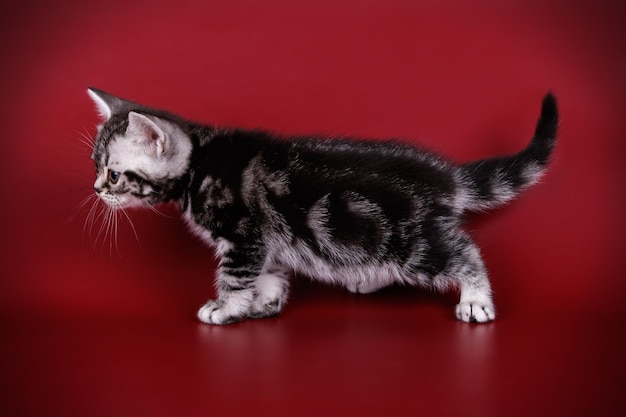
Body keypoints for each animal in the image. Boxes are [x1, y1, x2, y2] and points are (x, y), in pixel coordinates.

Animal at [86, 87, 556, 322]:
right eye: (96, 165)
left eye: (114, 174)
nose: (95, 188)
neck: (199, 161)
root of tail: (445, 175)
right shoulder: (267, 238)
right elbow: (270, 271)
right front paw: (265, 303)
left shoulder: (243, 235)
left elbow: (235, 277)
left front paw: (227, 308)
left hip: (410, 243)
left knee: (464, 252)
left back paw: (476, 299)